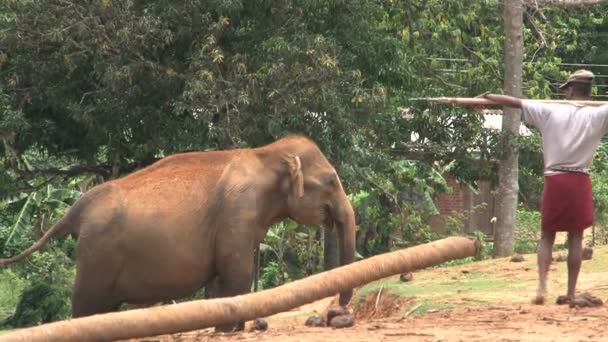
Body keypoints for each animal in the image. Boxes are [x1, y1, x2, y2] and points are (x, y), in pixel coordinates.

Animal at [0, 134, 356, 332]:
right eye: (331, 181)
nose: (337, 310)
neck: (265, 154)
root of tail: (76, 208)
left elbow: (221, 280)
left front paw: (225, 328)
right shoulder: (238, 211)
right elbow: (236, 274)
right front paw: (228, 330)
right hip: (96, 256)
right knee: (85, 307)